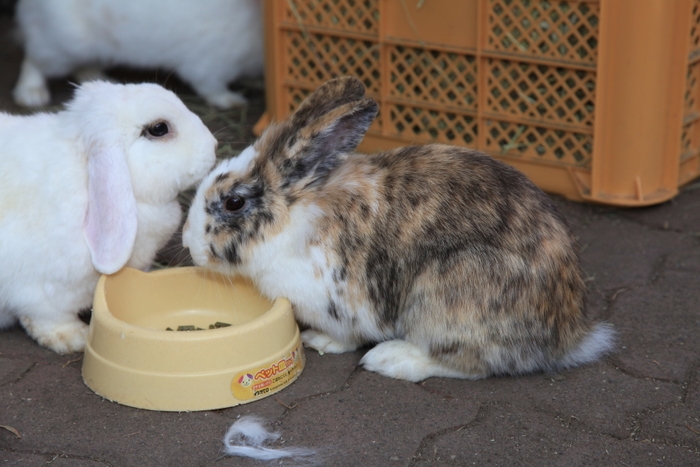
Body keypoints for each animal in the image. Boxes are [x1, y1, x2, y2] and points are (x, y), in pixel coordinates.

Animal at [12, 0, 264, 109]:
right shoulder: (209, 65)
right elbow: (211, 88)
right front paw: (232, 101)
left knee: (84, 69)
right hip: (62, 45)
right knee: (33, 59)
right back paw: (31, 94)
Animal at [183, 77, 616, 384]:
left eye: (233, 203)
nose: (188, 244)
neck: (292, 213)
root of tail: (569, 335)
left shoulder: (343, 301)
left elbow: (347, 334)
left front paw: (318, 340)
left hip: (444, 297)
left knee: (470, 363)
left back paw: (392, 359)